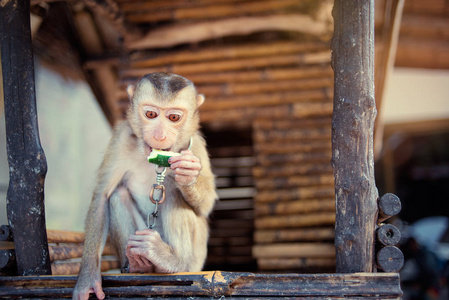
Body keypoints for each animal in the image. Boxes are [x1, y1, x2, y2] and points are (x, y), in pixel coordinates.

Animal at [72, 72, 217, 300]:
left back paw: (173, 261)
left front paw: (188, 175)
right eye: (150, 114)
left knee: (174, 192)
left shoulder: (196, 146)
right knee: (118, 196)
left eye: (173, 118)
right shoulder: (121, 138)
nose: (159, 135)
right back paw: (140, 265)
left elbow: (207, 204)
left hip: (196, 259)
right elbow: (102, 195)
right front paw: (87, 278)